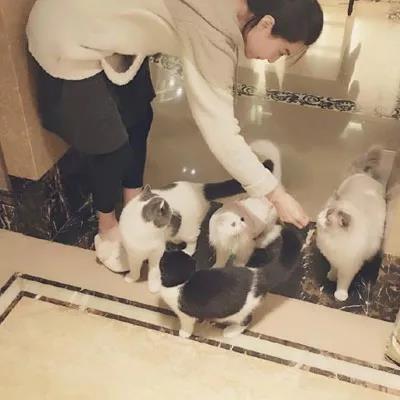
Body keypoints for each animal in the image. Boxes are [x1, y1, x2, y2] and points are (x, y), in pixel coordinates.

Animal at [119, 140, 280, 293]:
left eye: (172, 211)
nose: (176, 215)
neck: (145, 237)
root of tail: (200, 187)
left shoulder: (156, 253)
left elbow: (153, 271)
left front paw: (153, 287)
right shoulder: (132, 252)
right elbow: (134, 267)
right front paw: (131, 278)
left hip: (188, 230)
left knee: (193, 239)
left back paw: (187, 250)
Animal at [159, 224, 303, 339]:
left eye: (163, 261)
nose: (165, 250)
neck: (184, 280)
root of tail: (259, 274)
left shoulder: (185, 314)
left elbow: (187, 324)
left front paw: (184, 333)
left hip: (238, 312)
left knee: (247, 320)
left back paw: (231, 331)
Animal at [316, 147, 387, 302]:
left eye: (328, 217)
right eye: (325, 211)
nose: (319, 217)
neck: (333, 240)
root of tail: (364, 175)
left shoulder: (348, 267)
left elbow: (343, 283)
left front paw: (340, 295)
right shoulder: (335, 260)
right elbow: (333, 268)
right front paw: (331, 276)